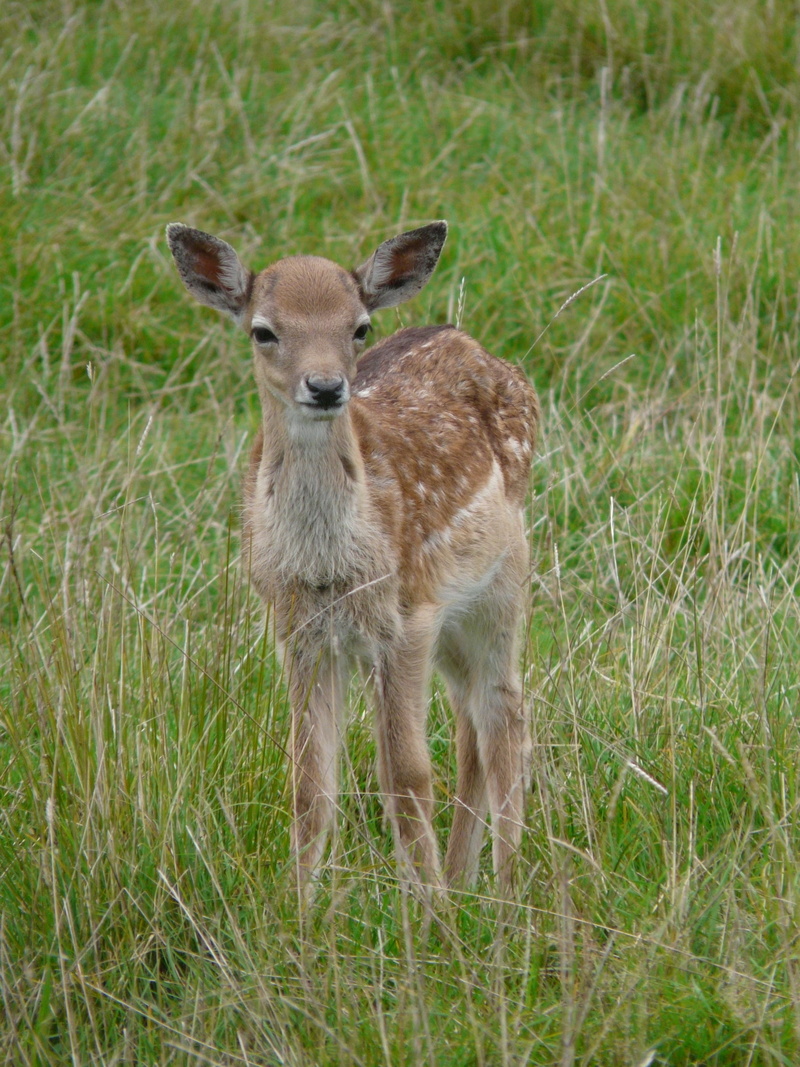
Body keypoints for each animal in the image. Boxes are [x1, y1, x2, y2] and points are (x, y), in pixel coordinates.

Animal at [166, 219, 539, 895]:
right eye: (264, 331)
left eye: (359, 327)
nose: (325, 386)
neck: (327, 566)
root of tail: (477, 346)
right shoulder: (299, 628)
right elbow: (309, 785)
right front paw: (300, 908)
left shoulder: (404, 618)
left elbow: (408, 778)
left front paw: (431, 911)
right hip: (447, 618)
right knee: (471, 723)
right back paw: (465, 877)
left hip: (501, 581)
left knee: (504, 716)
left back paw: (505, 892)